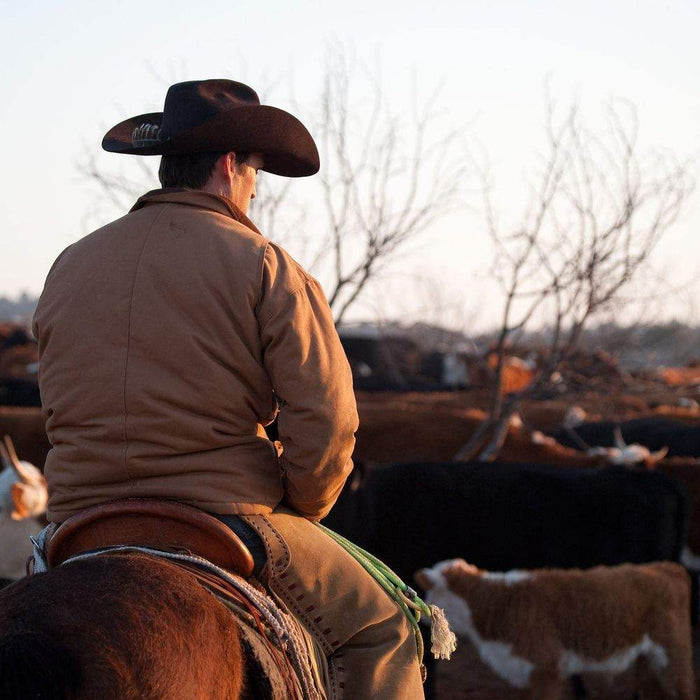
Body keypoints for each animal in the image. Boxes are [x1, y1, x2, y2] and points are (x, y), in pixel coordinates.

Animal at [416, 556, 696, 700]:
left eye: (428, 591)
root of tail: (665, 567)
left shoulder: (545, 666)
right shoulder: (526, 669)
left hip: (674, 653)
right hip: (648, 660)